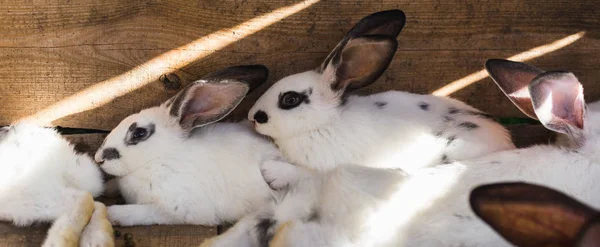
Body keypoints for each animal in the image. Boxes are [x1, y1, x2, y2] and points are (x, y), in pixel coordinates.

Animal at [95, 64, 286, 227]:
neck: (160, 158)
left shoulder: (178, 209)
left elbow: (142, 212)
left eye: (139, 133)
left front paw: (112, 213)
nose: (98, 159)